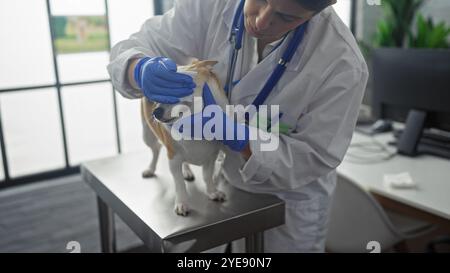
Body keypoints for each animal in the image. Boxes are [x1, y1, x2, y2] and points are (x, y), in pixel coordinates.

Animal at [141, 60, 229, 216]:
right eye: (157, 96)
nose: (155, 112)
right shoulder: (173, 159)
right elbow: (179, 183)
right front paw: (182, 203)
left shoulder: (211, 157)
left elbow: (207, 176)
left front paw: (212, 192)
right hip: (147, 135)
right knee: (156, 149)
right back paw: (151, 169)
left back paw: (187, 171)